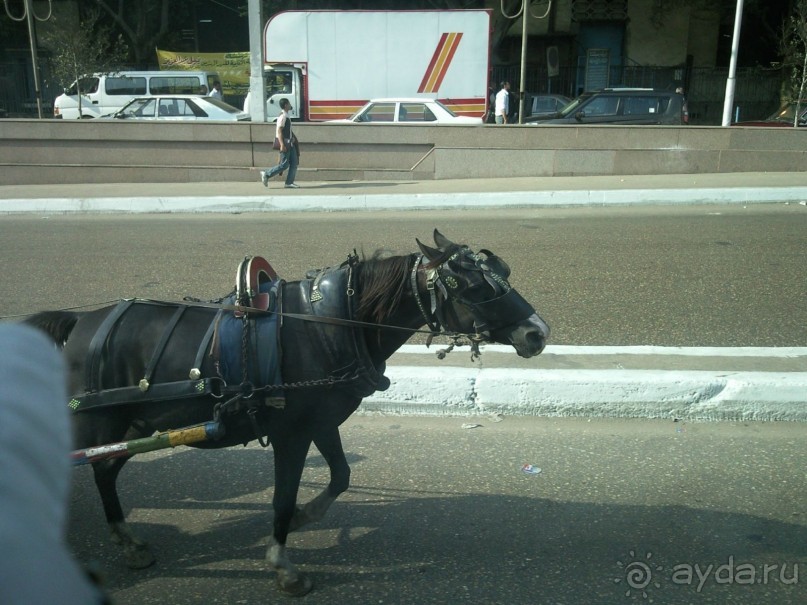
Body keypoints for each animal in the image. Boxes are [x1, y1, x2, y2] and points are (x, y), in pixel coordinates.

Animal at [28, 230, 552, 596]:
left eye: (501, 273)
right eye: (471, 286)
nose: (537, 333)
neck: (332, 322)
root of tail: (81, 321)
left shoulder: (320, 421)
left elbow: (340, 476)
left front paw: (304, 518)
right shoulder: (291, 433)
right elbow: (281, 497)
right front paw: (283, 563)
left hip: (133, 424)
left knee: (107, 470)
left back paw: (128, 541)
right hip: (100, 421)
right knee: (96, 471)